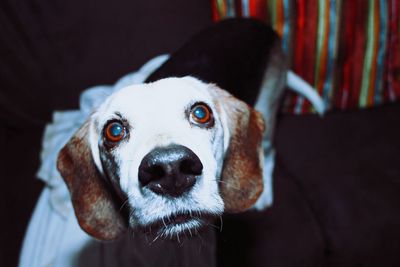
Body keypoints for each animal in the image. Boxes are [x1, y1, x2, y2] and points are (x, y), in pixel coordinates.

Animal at [57, 17, 324, 242]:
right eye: (114, 131)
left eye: (200, 113)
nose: (171, 170)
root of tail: (259, 25)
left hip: (268, 107)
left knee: (269, 151)